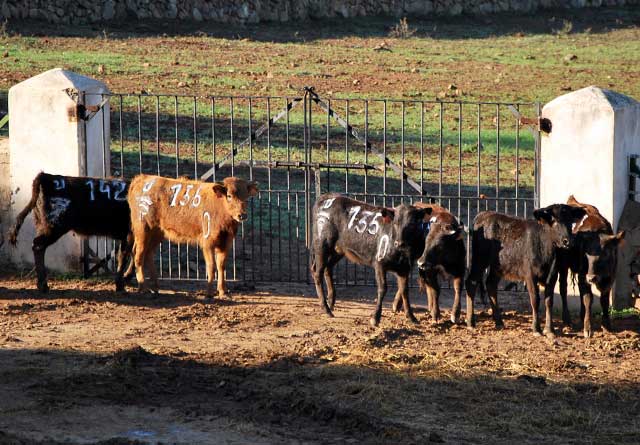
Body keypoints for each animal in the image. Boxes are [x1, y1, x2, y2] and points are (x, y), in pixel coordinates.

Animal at [127, 174, 258, 298]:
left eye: (246, 196)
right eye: (229, 196)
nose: (242, 215)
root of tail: (140, 179)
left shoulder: (226, 242)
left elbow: (221, 266)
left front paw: (223, 292)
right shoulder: (208, 243)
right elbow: (211, 266)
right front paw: (209, 293)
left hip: (157, 233)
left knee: (148, 253)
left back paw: (155, 287)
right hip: (143, 230)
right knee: (138, 255)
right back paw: (143, 288)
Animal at [310, 194, 430, 326]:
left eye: (413, 224)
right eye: (395, 223)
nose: (399, 243)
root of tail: (326, 197)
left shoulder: (405, 269)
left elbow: (404, 291)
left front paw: (412, 317)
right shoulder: (379, 263)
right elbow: (382, 288)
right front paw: (375, 318)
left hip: (338, 250)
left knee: (328, 268)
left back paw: (331, 303)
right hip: (322, 245)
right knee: (317, 273)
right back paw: (326, 308)